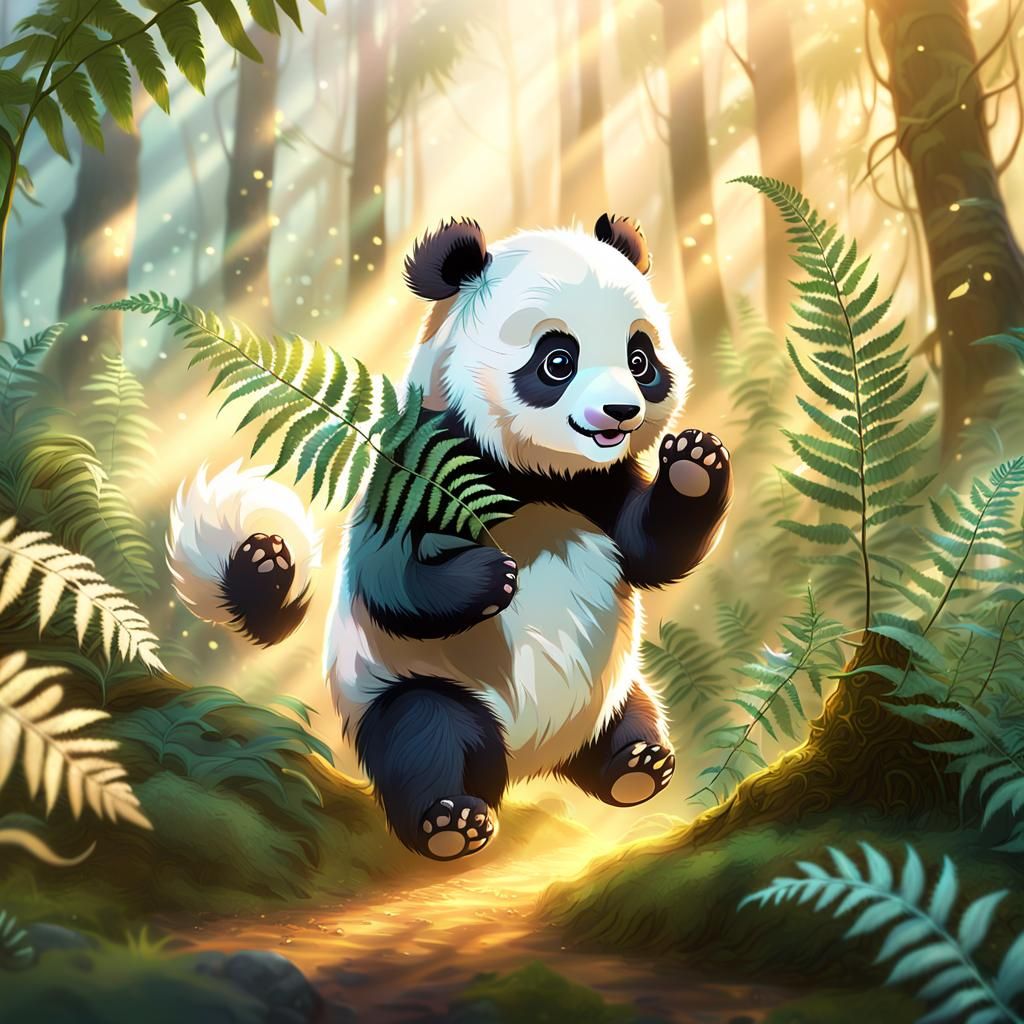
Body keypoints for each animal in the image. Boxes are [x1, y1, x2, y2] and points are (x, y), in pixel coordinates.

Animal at [167, 215, 733, 861]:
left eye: (640, 358)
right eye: (557, 360)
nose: (621, 411)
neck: (532, 476)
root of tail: (533, 756)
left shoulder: (600, 488)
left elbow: (650, 549)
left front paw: (694, 463)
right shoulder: (419, 467)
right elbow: (390, 576)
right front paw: (492, 577)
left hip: (609, 691)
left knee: (629, 717)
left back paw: (636, 764)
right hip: (410, 682)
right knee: (426, 735)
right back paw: (449, 822)